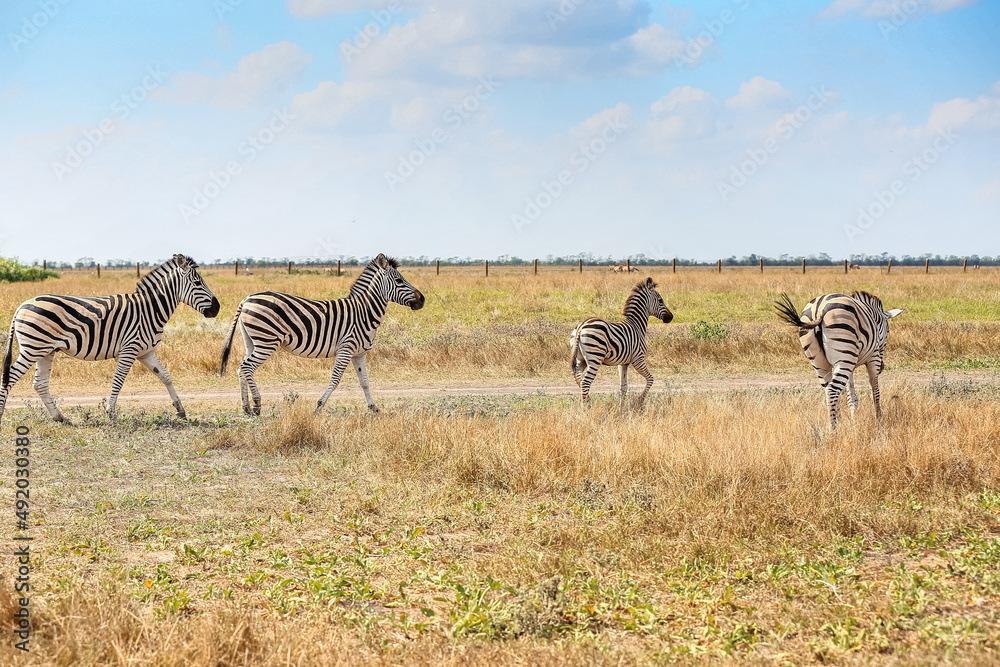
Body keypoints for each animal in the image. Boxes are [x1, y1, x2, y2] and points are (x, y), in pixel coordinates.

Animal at [0, 254, 220, 423]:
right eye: (197, 283)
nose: (217, 308)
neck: (150, 310)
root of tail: (21, 306)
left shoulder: (146, 352)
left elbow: (166, 377)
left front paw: (180, 410)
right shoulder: (130, 349)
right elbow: (118, 380)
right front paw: (111, 413)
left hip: (46, 350)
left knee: (39, 384)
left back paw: (60, 417)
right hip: (32, 349)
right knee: (10, 377)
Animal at [220, 253, 424, 416]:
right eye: (399, 281)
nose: (422, 300)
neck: (364, 313)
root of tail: (247, 298)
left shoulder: (359, 353)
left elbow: (364, 381)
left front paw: (374, 408)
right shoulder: (346, 349)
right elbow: (335, 380)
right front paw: (318, 407)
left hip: (252, 341)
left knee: (241, 368)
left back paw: (246, 407)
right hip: (267, 341)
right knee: (247, 368)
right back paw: (256, 405)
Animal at [570, 277, 673, 406]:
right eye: (660, 300)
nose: (671, 317)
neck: (637, 325)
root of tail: (582, 325)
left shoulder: (623, 363)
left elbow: (623, 386)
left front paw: (622, 406)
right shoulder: (638, 359)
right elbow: (650, 379)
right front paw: (639, 400)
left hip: (581, 359)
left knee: (578, 377)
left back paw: (587, 401)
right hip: (595, 358)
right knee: (585, 382)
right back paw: (586, 407)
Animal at [775, 291, 904, 429]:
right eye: (888, 331)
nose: (882, 368)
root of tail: (818, 310)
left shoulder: (850, 363)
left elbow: (852, 397)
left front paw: (854, 421)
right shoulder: (873, 357)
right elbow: (875, 391)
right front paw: (879, 418)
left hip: (822, 362)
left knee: (828, 390)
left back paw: (839, 423)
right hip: (844, 355)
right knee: (832, 390)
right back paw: (833, 429)